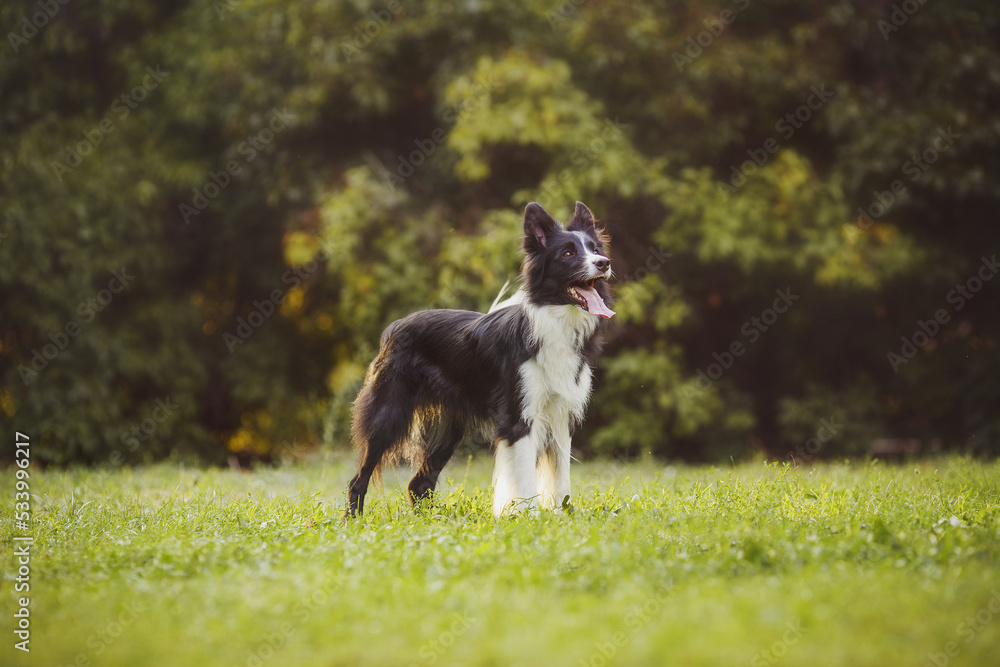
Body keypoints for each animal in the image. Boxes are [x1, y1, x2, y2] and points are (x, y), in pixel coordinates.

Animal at [348, 201, 612, 520]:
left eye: (594, 248)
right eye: (568, 254)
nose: (604, 262)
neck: (555, 320)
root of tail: (395, 327)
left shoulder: (561, 415)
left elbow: (561, 478)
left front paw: (563, 516)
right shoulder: (519, 417)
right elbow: (525, 478)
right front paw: (529, 518)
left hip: (449, 428)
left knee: (419, 483)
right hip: (388, 414)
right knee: (358, 478)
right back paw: (352, 520)